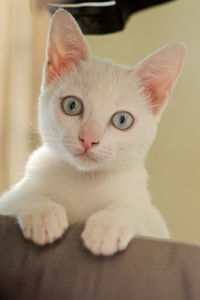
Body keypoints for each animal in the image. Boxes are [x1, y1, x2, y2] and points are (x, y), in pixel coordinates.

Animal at [0, 11, 185, 255]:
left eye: (122, 120)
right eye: (72, 105)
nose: (88, 139)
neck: (83, 179)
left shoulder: (156, 225)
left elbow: (135, 212)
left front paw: (108, 226)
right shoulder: (6, 199)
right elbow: (19, 196)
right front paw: (43, 213)